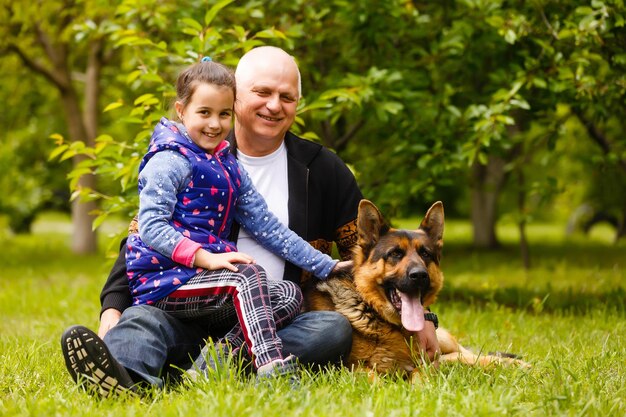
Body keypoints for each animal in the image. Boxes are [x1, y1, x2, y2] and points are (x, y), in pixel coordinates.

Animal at [302, 198, 528, 376]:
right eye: (395, 253)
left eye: (425, 254)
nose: (419, 275)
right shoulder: (351, 369)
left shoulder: (422, 362)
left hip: (442, 342)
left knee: (469, 354)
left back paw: (516, 364)